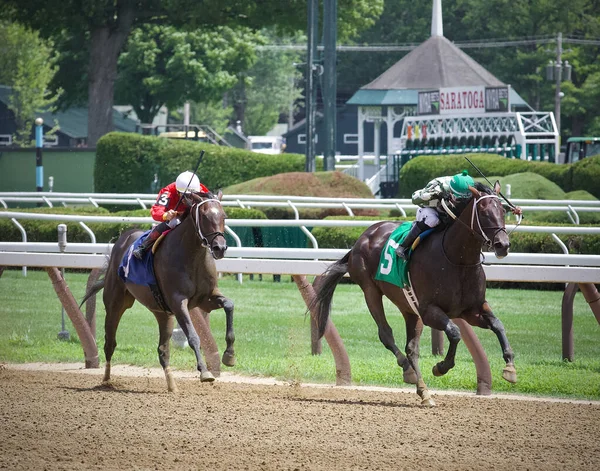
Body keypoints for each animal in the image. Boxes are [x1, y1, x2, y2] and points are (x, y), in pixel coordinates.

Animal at [81, 190, 234, 392]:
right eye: (204, 216)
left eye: (224, 216)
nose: (219, 247)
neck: (192, 256)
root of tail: (124, 237)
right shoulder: (178, 303)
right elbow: (193, 336)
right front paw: (205, 372)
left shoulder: (206, 299)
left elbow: (229, 305)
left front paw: (229, 355)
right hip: (116, 304)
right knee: (110, 343)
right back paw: (106, 380)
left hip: (162, 313)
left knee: (163, 350)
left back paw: (172, 386)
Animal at [310, 181, 516, 406]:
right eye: (484, 211)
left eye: (503, 211)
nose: (503, 245)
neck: (457, 260)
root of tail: (363, 237)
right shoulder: (429, 311)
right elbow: (454, 332)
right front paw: (440, 367)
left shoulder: (472, 310)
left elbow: (497, 324)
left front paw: (510, 367)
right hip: (370, 290)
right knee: (386, 334)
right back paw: (408, 370)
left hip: (408, 306)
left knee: (411, 348)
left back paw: (424, 391)